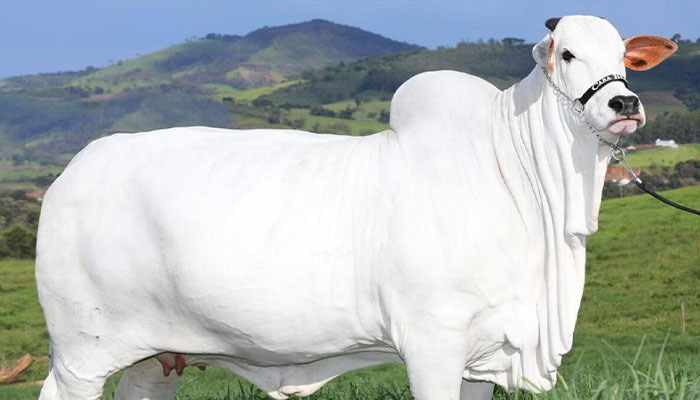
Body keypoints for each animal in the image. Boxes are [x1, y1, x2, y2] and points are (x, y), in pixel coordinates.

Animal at [36, 15, 676, 400]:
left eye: (624, 55)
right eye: (566, 53)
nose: (625, 103)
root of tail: (74, 170)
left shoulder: (485, 352)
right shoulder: (432, 343)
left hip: (156, 357)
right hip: (81, 354)